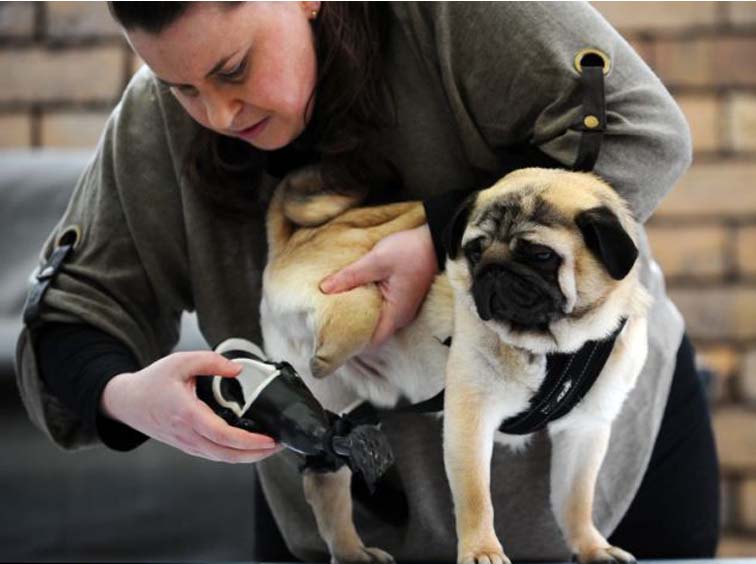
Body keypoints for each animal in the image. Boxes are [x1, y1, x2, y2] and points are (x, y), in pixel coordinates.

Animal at [260, 165, 648, 560]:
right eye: (474, 251)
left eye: (540, 255)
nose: (493, 268)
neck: (551, 349)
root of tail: (293, 240)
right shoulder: (470, 419)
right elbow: (475, 498)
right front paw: (481, 551)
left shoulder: (585, 430)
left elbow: (576, 500)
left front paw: (592, 547)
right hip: (355, 296)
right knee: (356, 311)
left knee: (328, 478)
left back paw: (351, 553)